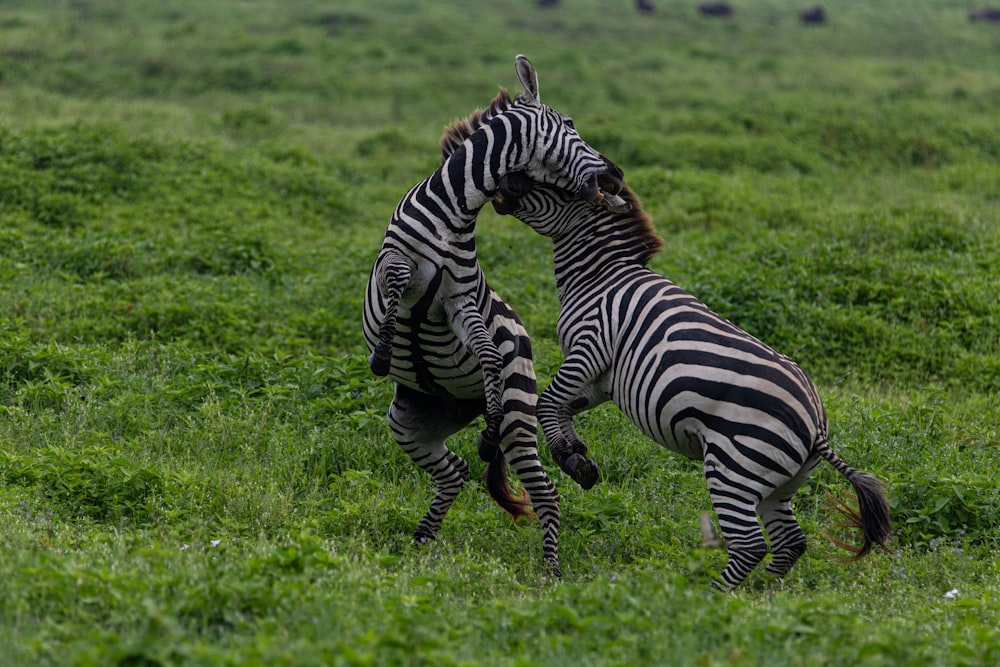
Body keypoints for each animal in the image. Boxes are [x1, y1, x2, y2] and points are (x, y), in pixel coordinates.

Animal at [360, 56, 624, 580]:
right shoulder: (391, 262)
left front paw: (490, 409)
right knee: (456, 472)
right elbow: (398, 283)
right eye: (570, 124)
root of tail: (461, 406)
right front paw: (382, 352)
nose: (616, 174)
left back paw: (550, 568)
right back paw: (422, 538)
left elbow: (485, 352)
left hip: (520, 419)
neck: (456, 209)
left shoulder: (460, 300)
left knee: (544, 491)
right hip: (409, 421)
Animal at [482, 174, 892, 588]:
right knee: (790, 542)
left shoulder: (591, 345)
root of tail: (816, 426)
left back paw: (709, 595)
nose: (500, 184)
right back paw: (762, 592)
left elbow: (547, 401)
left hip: (733, 469)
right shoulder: (603, 380)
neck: (599, 277)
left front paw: (566, 453)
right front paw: (576, 456)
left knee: (751, 545)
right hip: (778, 484)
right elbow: (562, 406)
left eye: (547, 181)